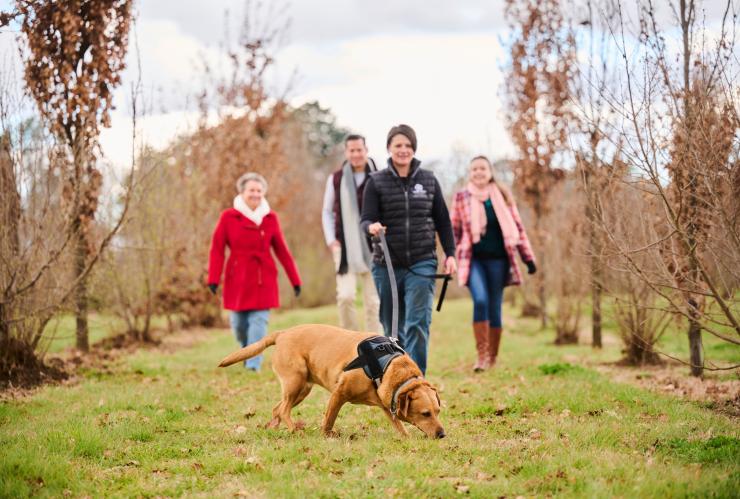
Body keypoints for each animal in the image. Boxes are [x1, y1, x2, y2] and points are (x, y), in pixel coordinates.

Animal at [218, 324, 446, 438]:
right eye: (425, 413)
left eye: (437, 411)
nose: (442, 434)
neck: (386, 364)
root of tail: (282, 333)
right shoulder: (339, 393)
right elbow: (329, 419)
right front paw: (326, 435)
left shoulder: (385, 404)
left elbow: (398, 425)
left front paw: (406, 438)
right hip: (295, 381)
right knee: (283, 409)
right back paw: (294, 430)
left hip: (302, 389)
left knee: (277, 408)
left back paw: (274, 429)